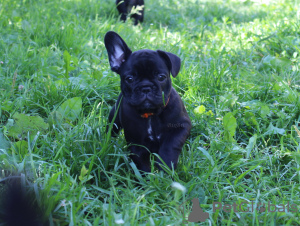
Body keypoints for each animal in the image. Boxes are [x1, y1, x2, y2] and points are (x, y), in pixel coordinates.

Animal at [104, 30, 191, 172]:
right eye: (129, 79)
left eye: (161, 77)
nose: (146, 87)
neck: (151, 114)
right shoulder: (135, 141)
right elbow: (139, 160)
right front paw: (147, 176)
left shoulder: (181, 127)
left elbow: (170, 146)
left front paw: (165, 169)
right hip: (114, 118)